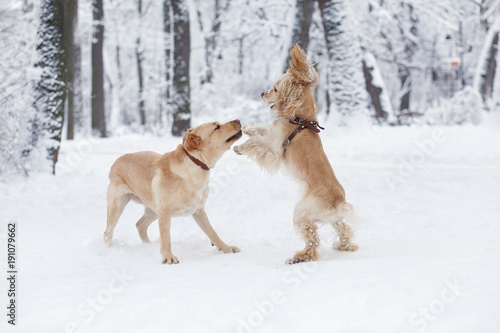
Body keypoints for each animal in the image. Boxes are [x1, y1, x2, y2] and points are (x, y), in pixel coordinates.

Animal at [103, 120, 242, 264]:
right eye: (217, 127)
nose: (238, 120)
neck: (195, 165)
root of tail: (117, 160)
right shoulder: (165, 213)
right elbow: (166, 238)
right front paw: (168, 256)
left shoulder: (199, 211)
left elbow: (212, 232)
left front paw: (226, 248)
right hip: (118, 206)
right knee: (108, 232)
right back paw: (110, 249)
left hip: (153, 209)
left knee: (140, 225)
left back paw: (149, 246)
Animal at [234, 44, 360, 264]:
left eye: (275, 89)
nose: (262, 93)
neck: (300, 119)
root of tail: (339, 203)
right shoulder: (273, 133)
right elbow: (261, 129)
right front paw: (247, 128)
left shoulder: (275, 149)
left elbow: (255, 143)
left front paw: (240, 148)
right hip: (332, 219)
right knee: (343, 228)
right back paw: (345, 246)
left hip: (301, 213)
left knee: (312, 239)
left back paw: (300, 257)